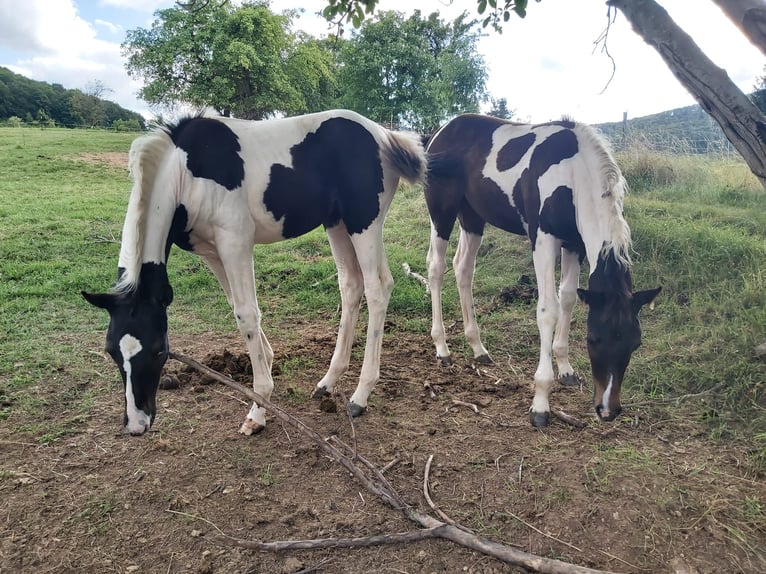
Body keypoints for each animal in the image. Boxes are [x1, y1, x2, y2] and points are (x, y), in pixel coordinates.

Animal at [87, 110, 428, 436]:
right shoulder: (211, 252)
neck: (186, 171)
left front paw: (259, 407)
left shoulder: (235, 242)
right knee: (352, 285)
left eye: (160, 349)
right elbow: (236, 308)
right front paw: (267, 361)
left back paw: (360, 395)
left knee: (378, 288)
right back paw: (328, 381)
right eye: (111, 351)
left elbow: (248, 314)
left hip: (364, 224)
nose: (136, 423)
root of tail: (384, 135)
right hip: (337, 224)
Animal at [424, 115, 664, 428]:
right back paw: (442, 349)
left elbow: (569, 297)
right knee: (436, 267)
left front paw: (566, 369)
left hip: (473, 216)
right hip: (442, 211)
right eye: (593, 339)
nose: (607, 410)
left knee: (463, 268)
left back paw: (478, 348)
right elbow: (548, 309)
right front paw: (540, 402)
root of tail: (442, 130)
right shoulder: (543, 239)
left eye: (636, 343)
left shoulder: (573, 243)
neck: (574, 174)